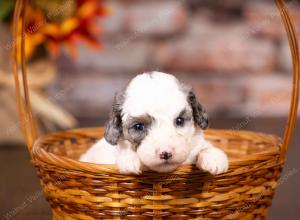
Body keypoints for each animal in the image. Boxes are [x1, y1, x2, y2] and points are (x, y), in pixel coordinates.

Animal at [79, 72, 227, 175]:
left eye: (179, 120)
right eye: (139, 126)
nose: (165, 153)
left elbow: (204, 147)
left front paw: (214, 157)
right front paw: (129, 159)